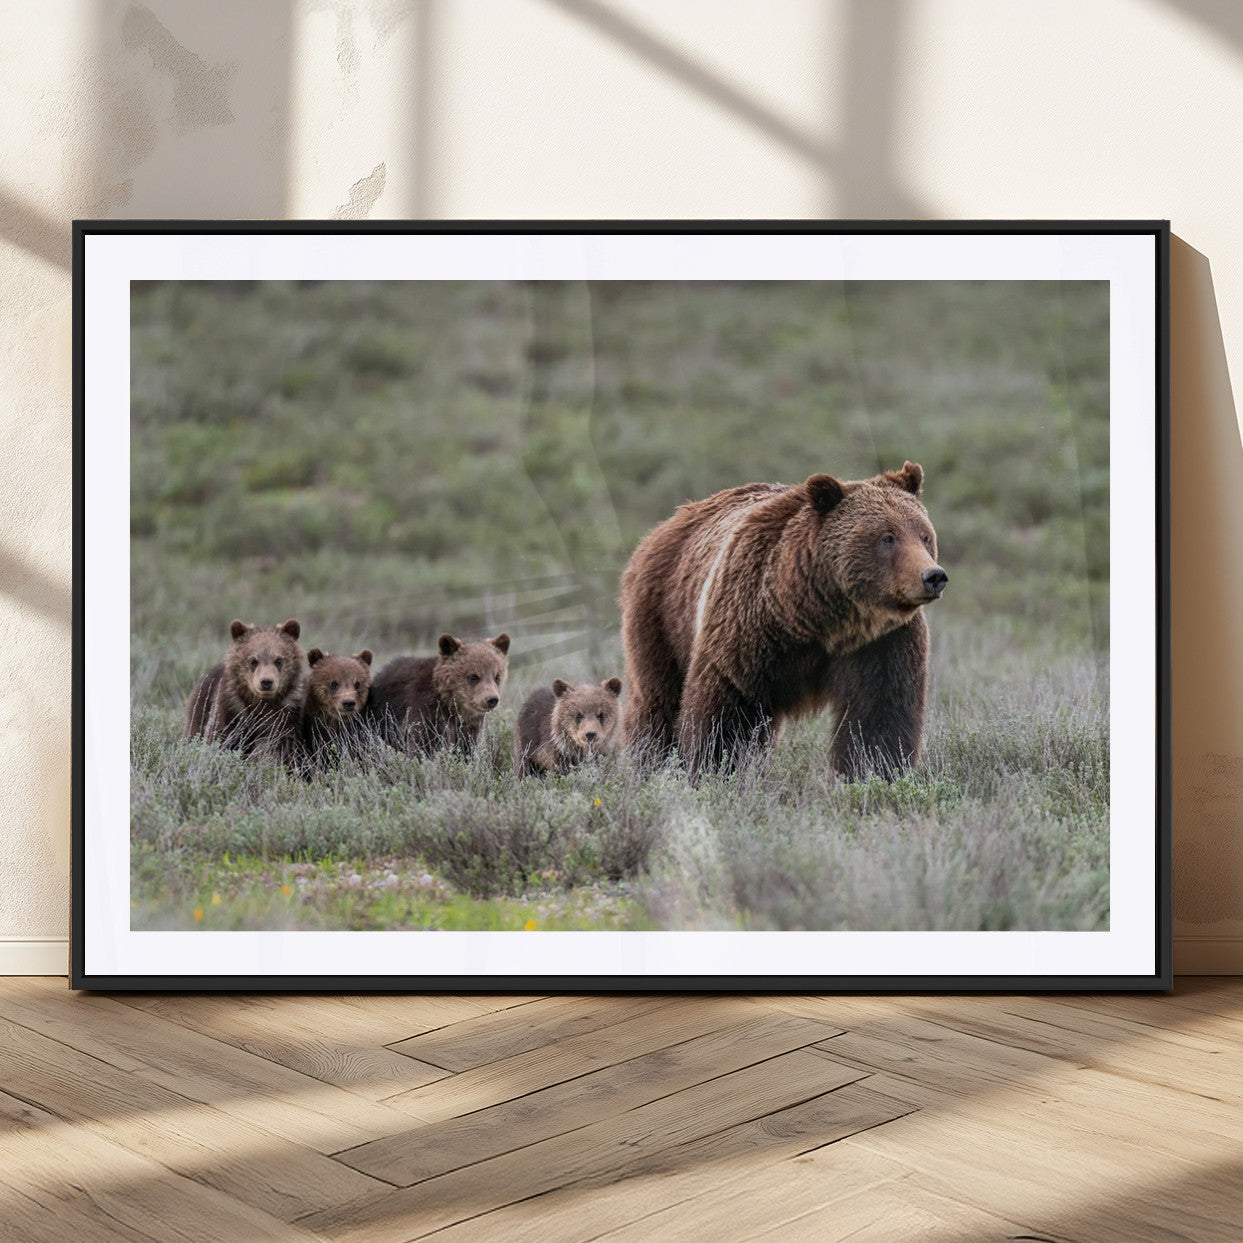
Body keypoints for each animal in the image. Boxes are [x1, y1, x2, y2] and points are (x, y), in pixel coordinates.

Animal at [184, 619, 310, 762]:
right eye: (253, 660)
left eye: (279, 660)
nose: (266, 682)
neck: (261, 702)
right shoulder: (231, 708)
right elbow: (218, 735)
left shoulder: (287, 713)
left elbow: (281, 744)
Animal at [368, 633, 510, 756]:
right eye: (474, 676)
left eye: (497, 676)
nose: (491, 699)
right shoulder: (426, 711)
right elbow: (425, 744)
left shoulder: (468, 725)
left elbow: (466, 746)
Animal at [619, 461, 947, 779]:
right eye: (887, 537)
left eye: (924, 535)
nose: (933, 576)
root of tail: (668, 524)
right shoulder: (748, 627)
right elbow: (727, 712)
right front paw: (715, 770)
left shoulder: (881, 642)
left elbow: (879, 716)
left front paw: (873, 773)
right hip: (664, 615)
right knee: (657, 700)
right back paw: (647, 762)